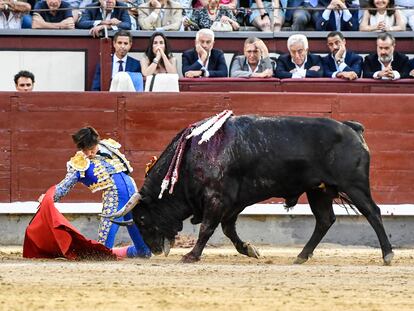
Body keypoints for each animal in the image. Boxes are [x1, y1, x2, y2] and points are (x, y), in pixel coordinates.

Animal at [131, 116, 392, 264]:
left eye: (142, 219)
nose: (154, 250)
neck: (191, 155)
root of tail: (352, 128)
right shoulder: (233, 203)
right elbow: (228, 229)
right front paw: (250, 250)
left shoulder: (217, 199)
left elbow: (207, 228)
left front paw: (191, 256)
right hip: (319, 191)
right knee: (325, 219)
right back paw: (301, 256)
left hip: (354, 185)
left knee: (373, 212)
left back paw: (387, 255)